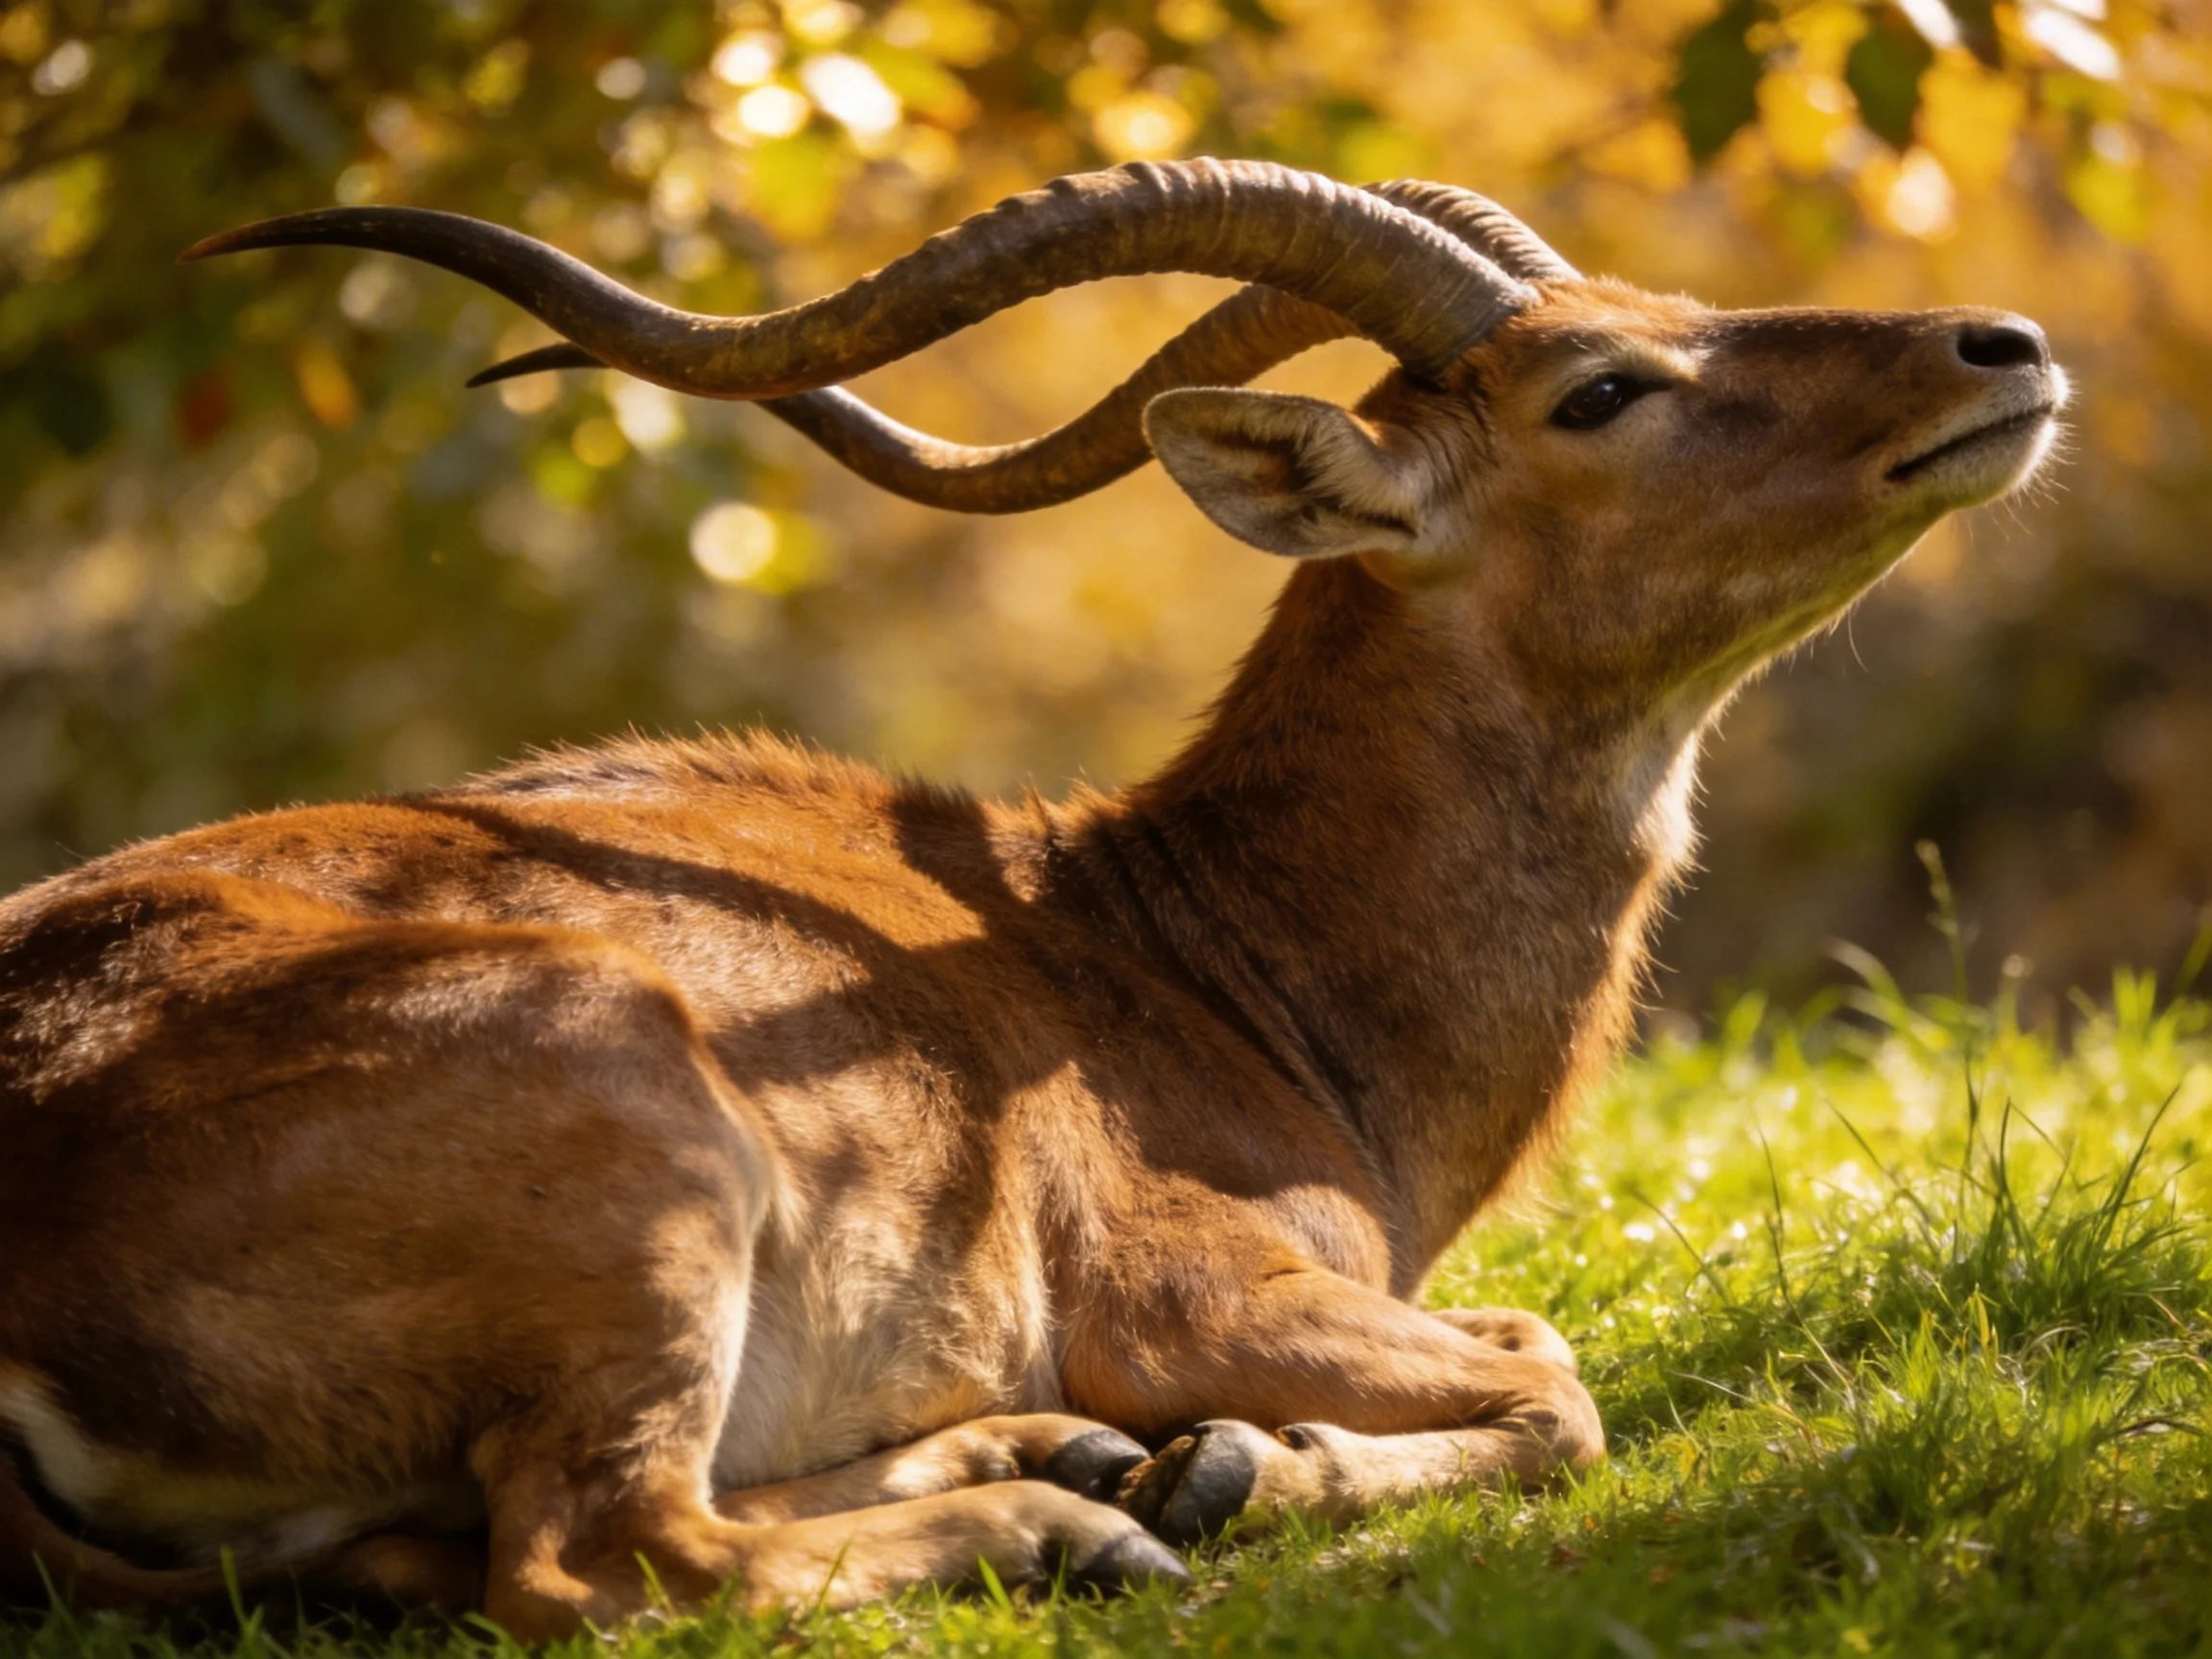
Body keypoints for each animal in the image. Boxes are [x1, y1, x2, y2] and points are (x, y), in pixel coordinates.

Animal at [0, 159, 2063, 1640]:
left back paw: (1055, 1452)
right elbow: (1554, 1380)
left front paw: (1189, 1463)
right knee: (607, 1558)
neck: (1194, 944)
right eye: (1601, 388)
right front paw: (1231, 1468)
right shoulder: (1197, 1291)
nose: (2001, 346)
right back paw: (1087, 1517)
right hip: (633, 1163)